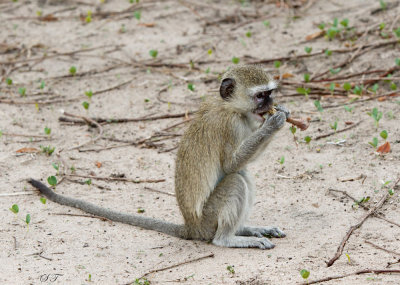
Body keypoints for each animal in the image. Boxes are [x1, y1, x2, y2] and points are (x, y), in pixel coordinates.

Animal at [28, 64, 290, 248]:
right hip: (208, 219)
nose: (272, 103)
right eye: (260, 96)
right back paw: (228, 238)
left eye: (269, 93)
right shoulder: (230, 125)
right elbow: (230, 164)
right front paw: (273, 123)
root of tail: (191, 227)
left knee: (243, 175)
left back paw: (244, 229)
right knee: (236, 179)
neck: (231, 108)